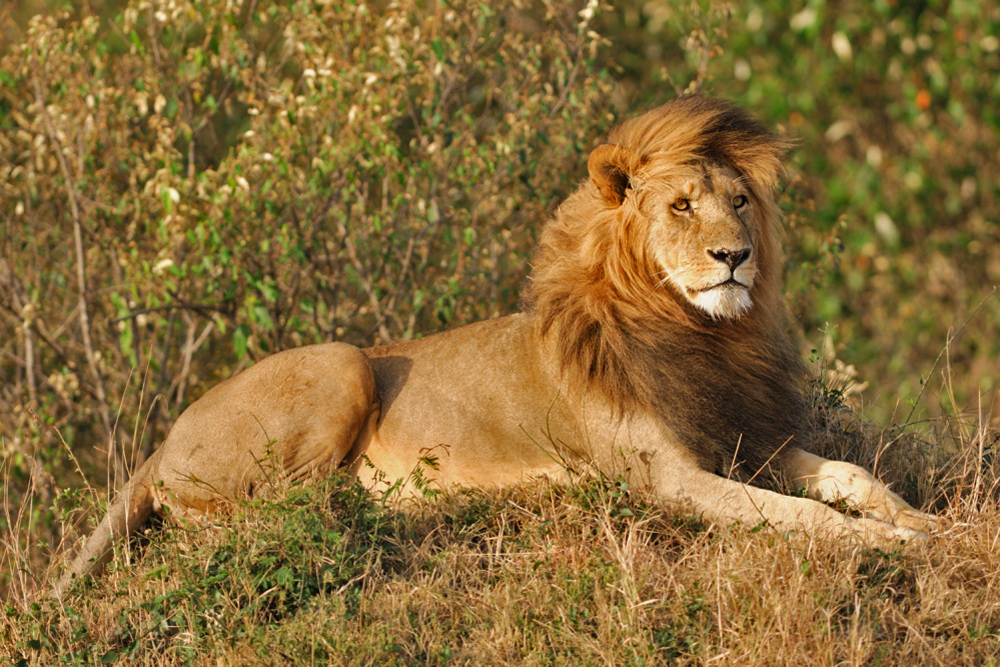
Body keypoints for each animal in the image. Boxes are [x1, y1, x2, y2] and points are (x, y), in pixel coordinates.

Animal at [54, 96, 939, 596]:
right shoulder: (669, 479)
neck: (700, 334)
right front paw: (889, 544)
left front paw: (925, 522)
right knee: (249, 516)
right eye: (683, 205)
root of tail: (163, 437)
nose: (736, 256)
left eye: (742, 201)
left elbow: (851, 476)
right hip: (340, 360)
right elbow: (801, 517)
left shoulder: (747, 436)